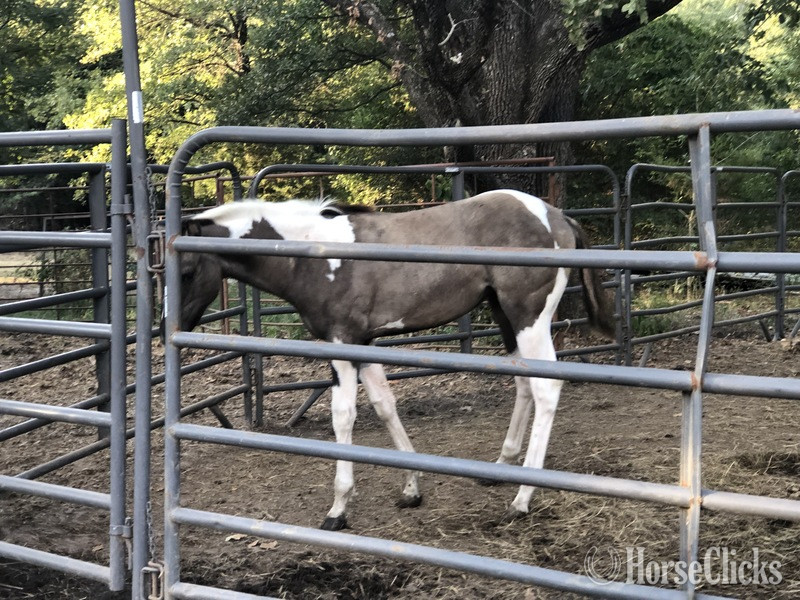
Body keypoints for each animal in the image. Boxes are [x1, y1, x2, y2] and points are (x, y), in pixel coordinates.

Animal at [172, 189, 615, 530]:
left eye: (188, 271)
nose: (172, 328)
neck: (314, 254)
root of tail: (555, 216)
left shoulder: (341, 343)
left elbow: (344, 417)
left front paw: (338, 510)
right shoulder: (364, 343)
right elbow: (385, 406)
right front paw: (411, 490)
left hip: (529, 317)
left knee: (546, 388)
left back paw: (522, 499)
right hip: (506, 317)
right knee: (524, 383)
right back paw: (503, 469)